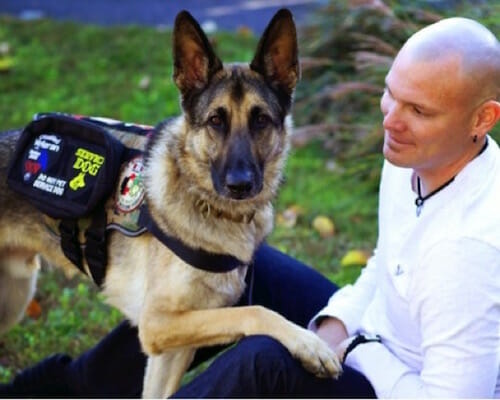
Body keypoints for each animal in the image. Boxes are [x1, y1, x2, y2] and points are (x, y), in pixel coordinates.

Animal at [0, 8, 340, 396]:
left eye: (261, 121)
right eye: (215, 121)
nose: (240, 185)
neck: (211, 207)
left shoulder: (172, 348)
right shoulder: (156, 323)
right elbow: (255, 311)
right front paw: (308, 344)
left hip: (15, 294)